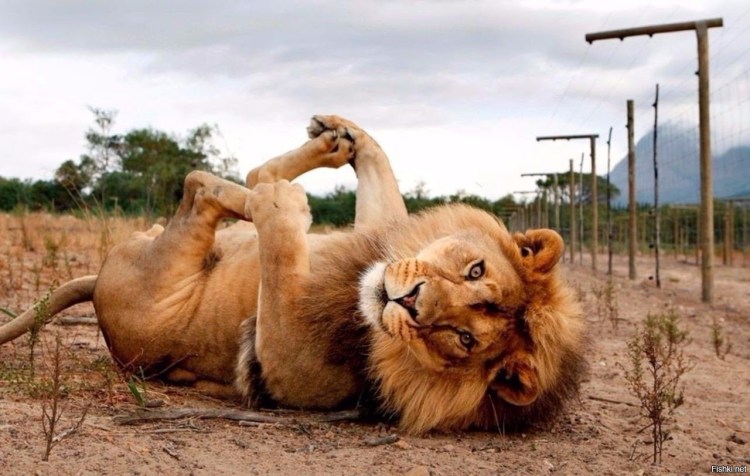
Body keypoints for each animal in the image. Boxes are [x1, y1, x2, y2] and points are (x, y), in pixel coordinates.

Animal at [0, 115, 585, 434]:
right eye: (474, 269)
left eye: (464, 339)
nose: (410, 300)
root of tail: (96, 286)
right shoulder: (377, 237)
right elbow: (381, 189)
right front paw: (349, 139)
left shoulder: (280, 362)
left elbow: (279, 247)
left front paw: (283, 205)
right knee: (239, 180)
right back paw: (327, 145)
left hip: (165, 268)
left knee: (202, 185)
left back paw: (269, 191)